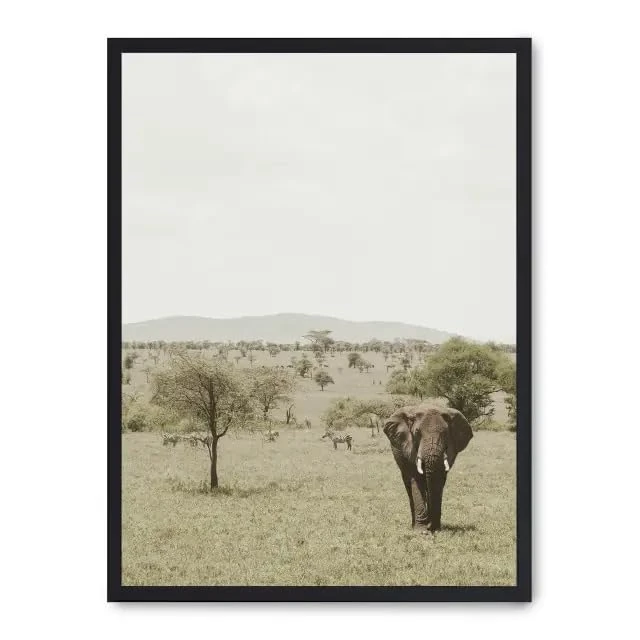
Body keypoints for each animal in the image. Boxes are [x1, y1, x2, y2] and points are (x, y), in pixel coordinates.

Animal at [383, 405, 473, 533]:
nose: (431, 527)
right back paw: (414, 525)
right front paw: (421, 530)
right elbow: (416, 480)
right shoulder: (409, 447)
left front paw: (434, 528)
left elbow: (438, 481)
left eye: (445, 434)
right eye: (416, 433)